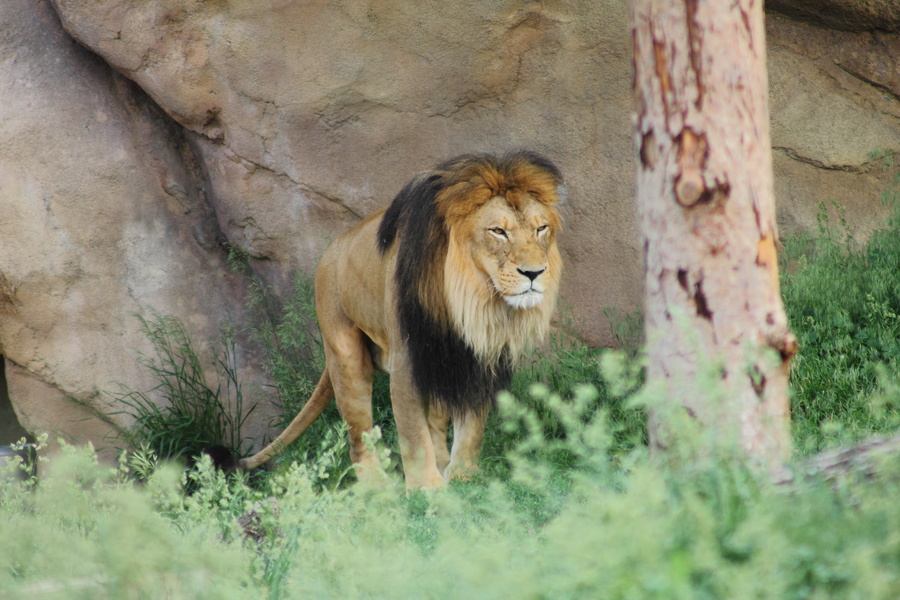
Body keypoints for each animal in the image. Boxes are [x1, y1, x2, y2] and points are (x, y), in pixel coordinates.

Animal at [239, 151, 564, 489]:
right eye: (498, 231)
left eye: (541, 229)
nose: (534, 273)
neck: (469, 297)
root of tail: (332, 249)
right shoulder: (408, 356)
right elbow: (412, 431)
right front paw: (427, 488)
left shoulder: (479, 354)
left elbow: (472, 424)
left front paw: (464, 477)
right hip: (346, 353)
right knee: (358, 435)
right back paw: (377, 487)